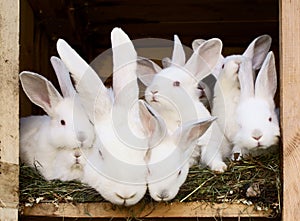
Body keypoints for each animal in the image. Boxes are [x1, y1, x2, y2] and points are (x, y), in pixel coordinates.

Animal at [138, 35, 230, 173]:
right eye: (154, 79)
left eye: (176, 83)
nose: (153, 91)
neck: (177, 113)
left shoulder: (208, 141)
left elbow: (212, 156)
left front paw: (220, 168)